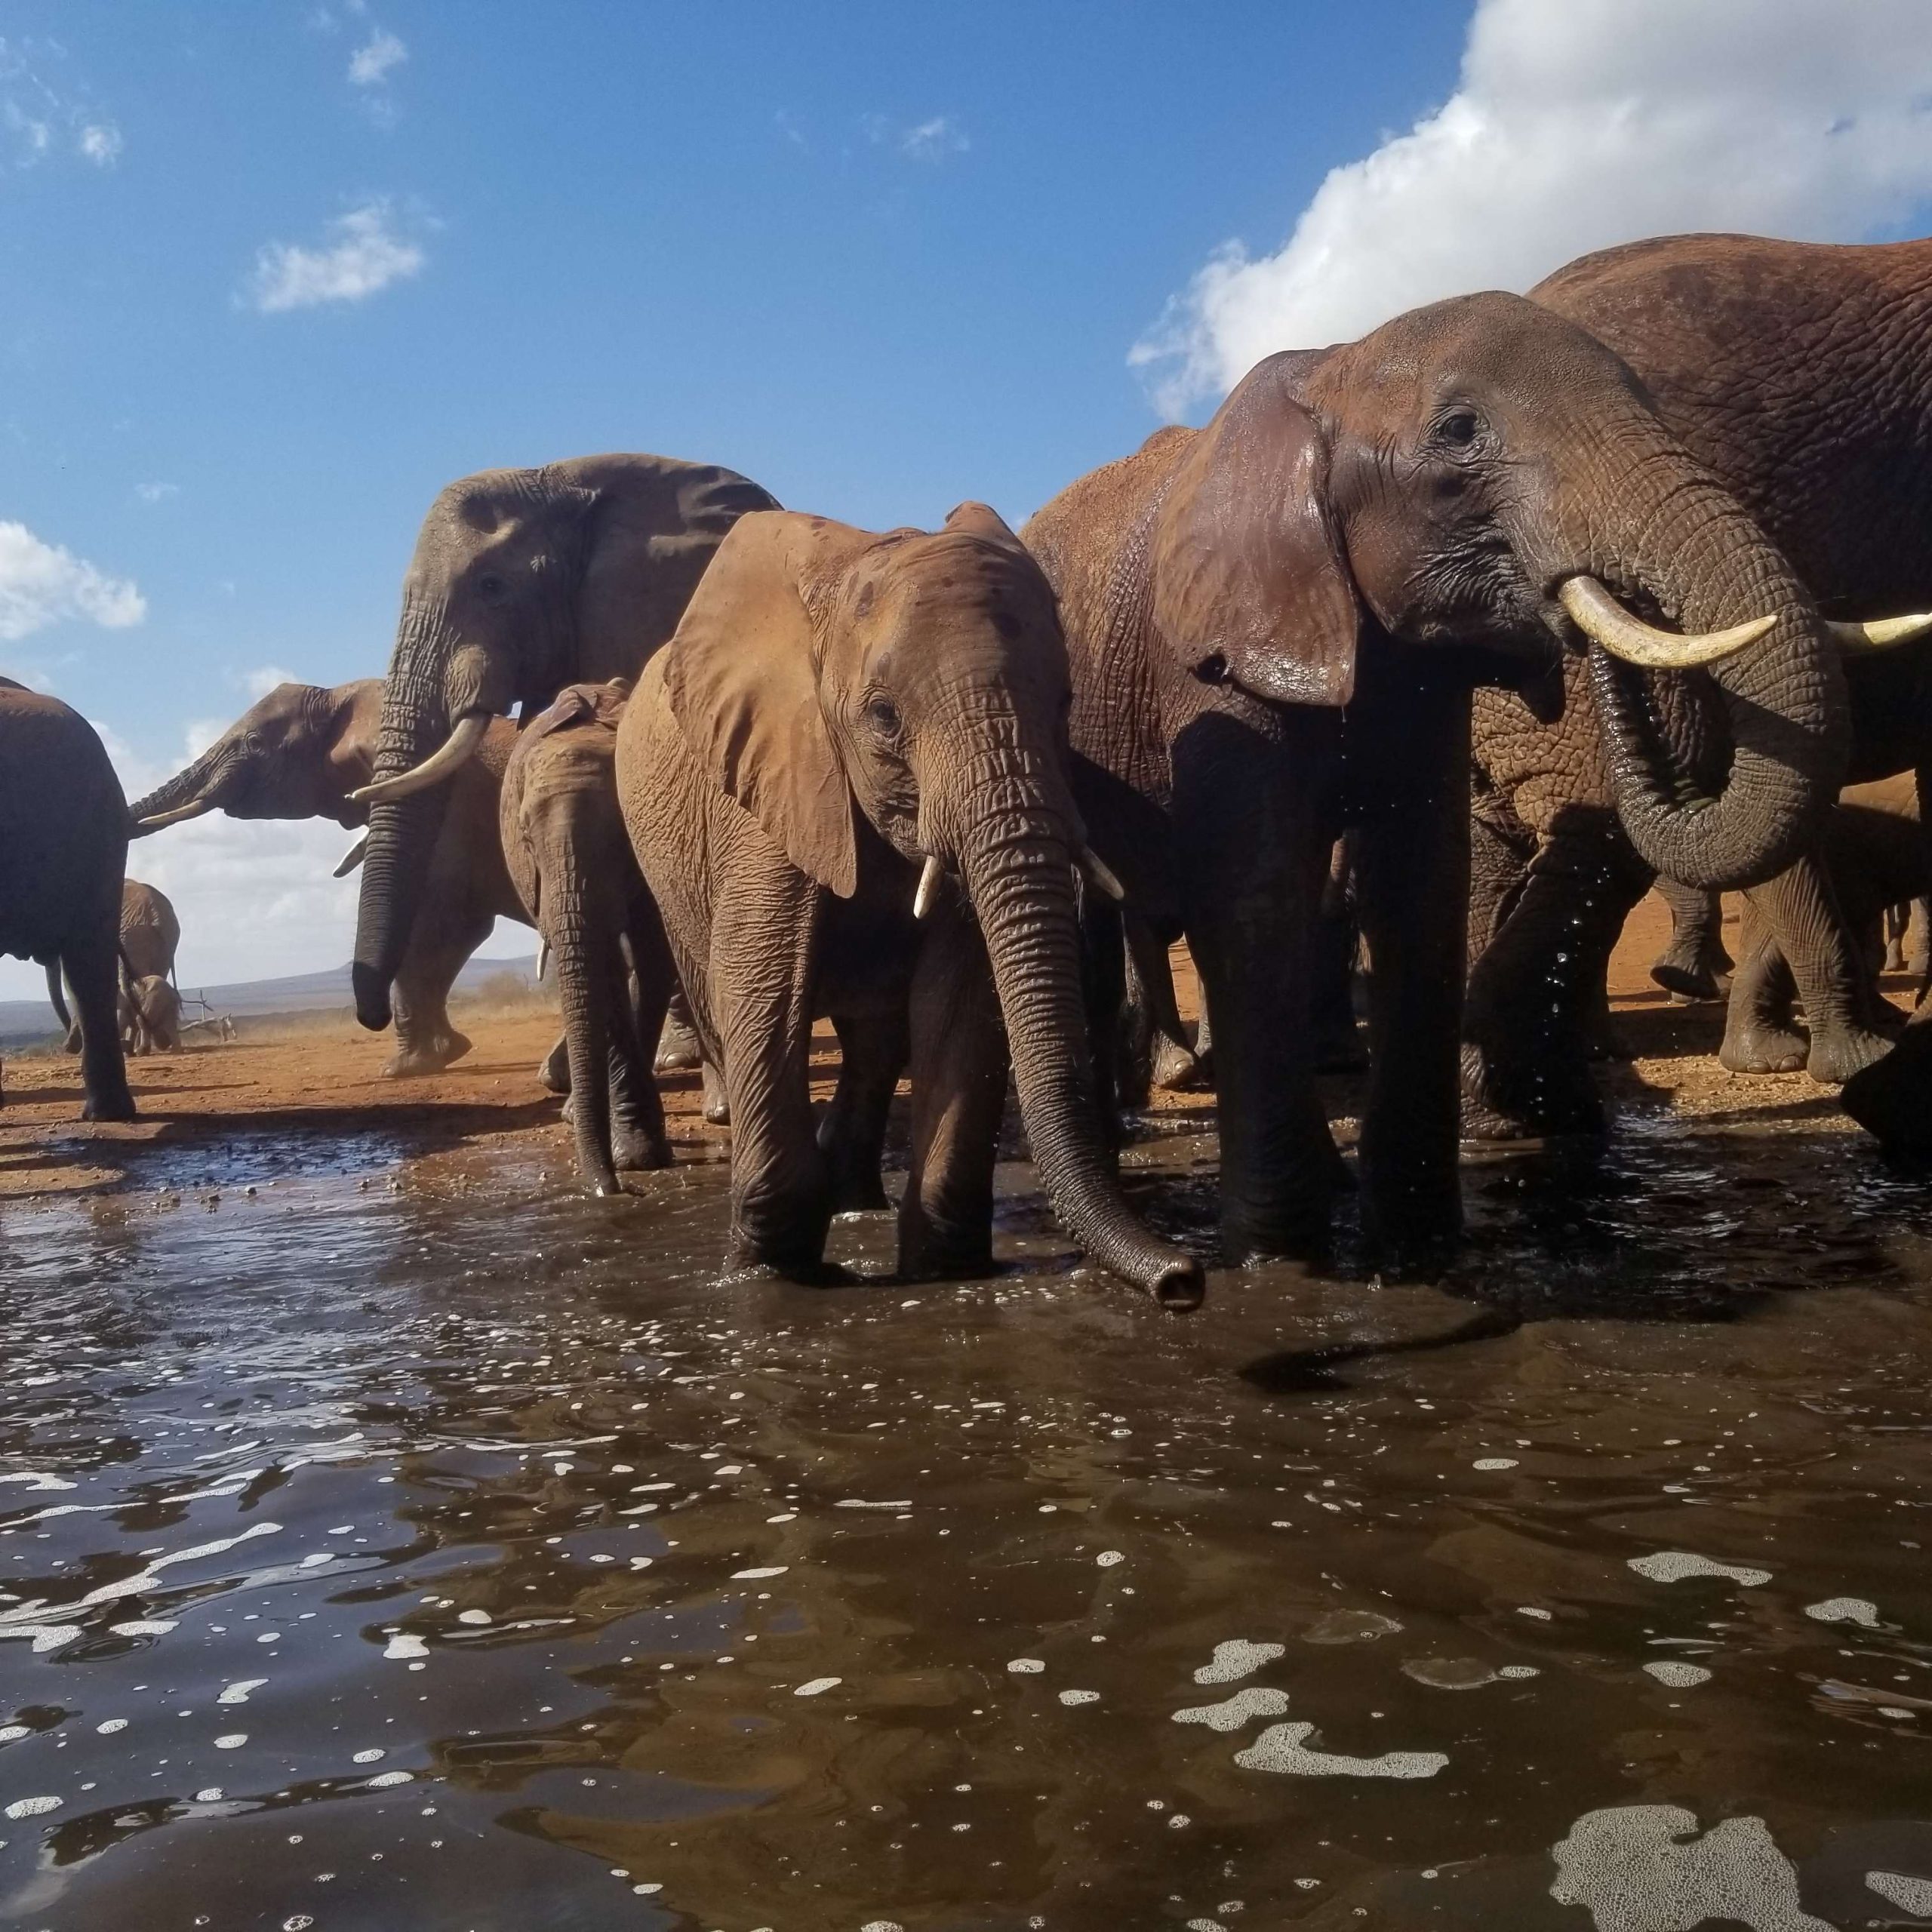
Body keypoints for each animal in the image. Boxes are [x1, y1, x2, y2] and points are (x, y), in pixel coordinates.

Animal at [127, 678, 525, 1077]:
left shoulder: (450, 803)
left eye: (255, 744)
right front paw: (439, 1054)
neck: (344, 695)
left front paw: (406, 1065)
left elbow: (444, 923)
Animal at [500, 679, 674, 1194]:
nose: (613, 1189)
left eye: (621, 836)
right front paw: (635, 1155)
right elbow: (607, 971)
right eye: (526, 838)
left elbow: (652, 960)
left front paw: (637, 1155)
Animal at [618, 501, 1205, 1307]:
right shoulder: (769, 784)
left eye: (1064, 704)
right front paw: (773, 1277)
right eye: (885, 717)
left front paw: (947, 1271)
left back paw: (856, 1199)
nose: (1183, 1280)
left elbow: (960, 995)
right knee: (720, 1001)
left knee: (876, 1040)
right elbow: (765, 987)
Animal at [1024, 292, 1845, 1265]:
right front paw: (1280, 1260)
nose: (1584, 604)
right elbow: (1255, 891)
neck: (1335, 366)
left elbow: (1419, 883)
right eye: (1458, 433)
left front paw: (1411, 1248)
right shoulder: (1210, 656)